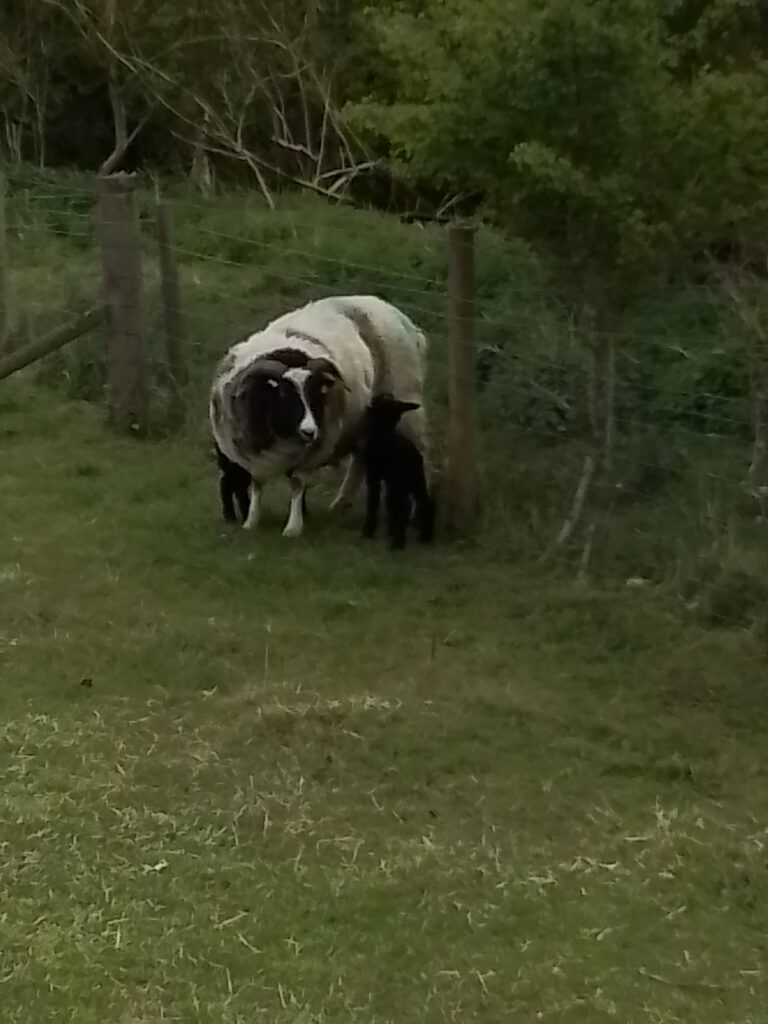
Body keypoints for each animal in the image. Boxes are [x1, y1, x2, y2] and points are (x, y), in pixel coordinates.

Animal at [360, 393, 436, 552]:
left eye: (381, 399)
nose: (373, 399)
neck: (384, 429)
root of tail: (412, 456)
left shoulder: (373, 476)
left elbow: (373, 502)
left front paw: (369, 531)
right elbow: (389, 504)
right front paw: (390, 529)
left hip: (399, 481)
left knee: (405, 506)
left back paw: (398, 543)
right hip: (416, 479)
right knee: (427, 503)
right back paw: (425, 536)